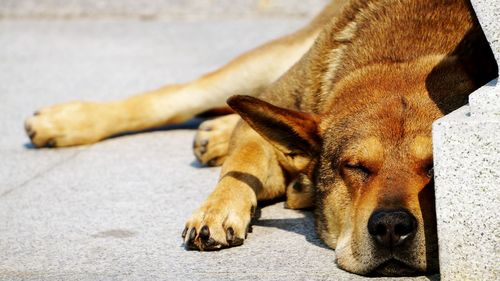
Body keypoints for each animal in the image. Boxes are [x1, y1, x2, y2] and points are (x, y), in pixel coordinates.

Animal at [22, 0, 496, 276]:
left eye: (437, 168)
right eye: (355, 167)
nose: (392, 227)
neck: (404, 55)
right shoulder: (271, 114)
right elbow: (242, 165)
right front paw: (216, 210)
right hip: (265, 64)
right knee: (178, 96)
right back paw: (64, 121)